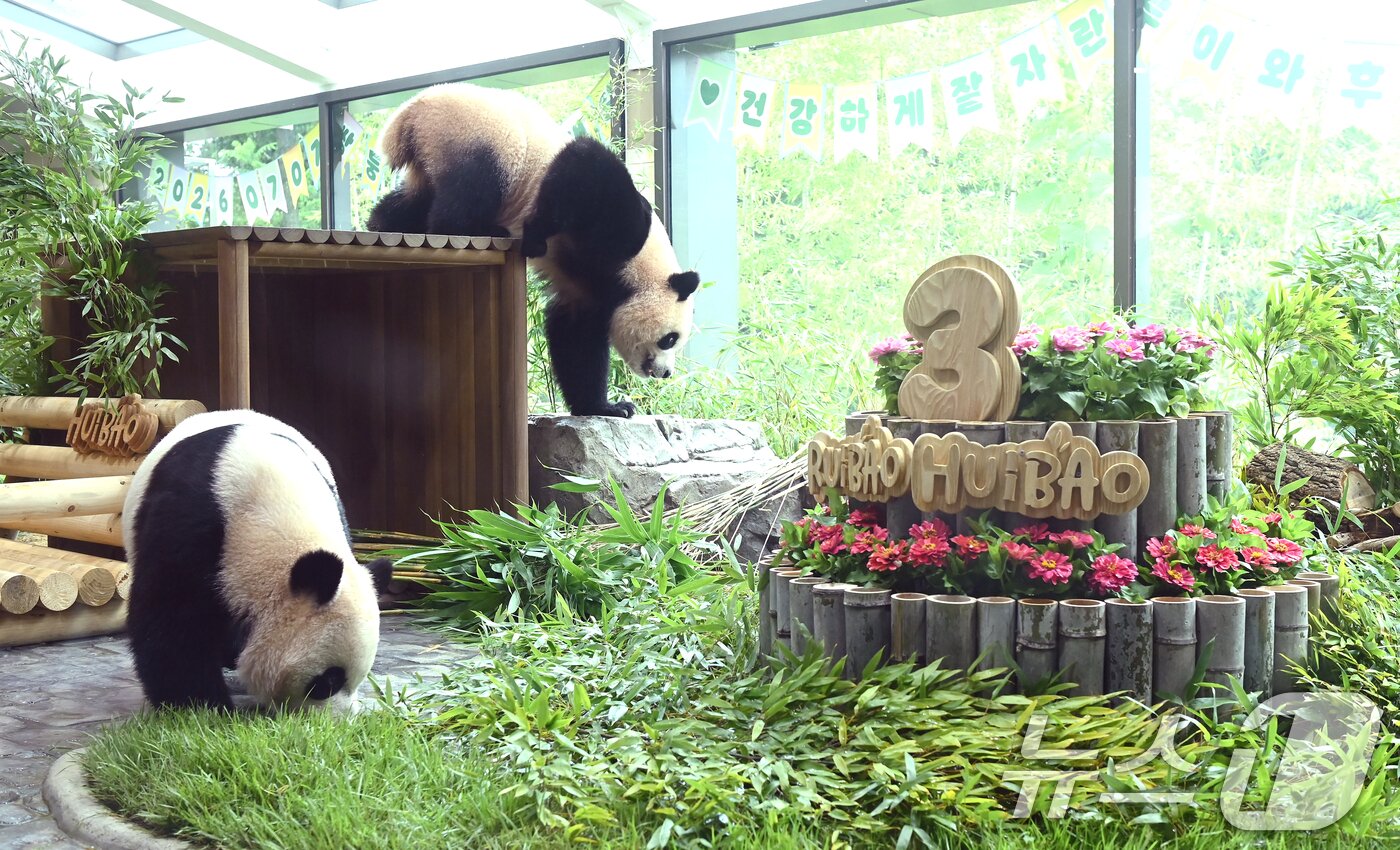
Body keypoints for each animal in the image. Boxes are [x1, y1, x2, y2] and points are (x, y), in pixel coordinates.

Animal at [366, 82, 700, 418]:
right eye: (670, 339)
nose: (666, 373)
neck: (634, 272)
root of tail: (409, 113)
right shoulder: (611, 223)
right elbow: (582, 167)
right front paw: (535, 235)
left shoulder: (584, 287)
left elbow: (576, 336)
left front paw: (607, 407)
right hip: (480, 132)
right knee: (473, 186)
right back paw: (481, 229)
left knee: (414, 201)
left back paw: (382, 222)